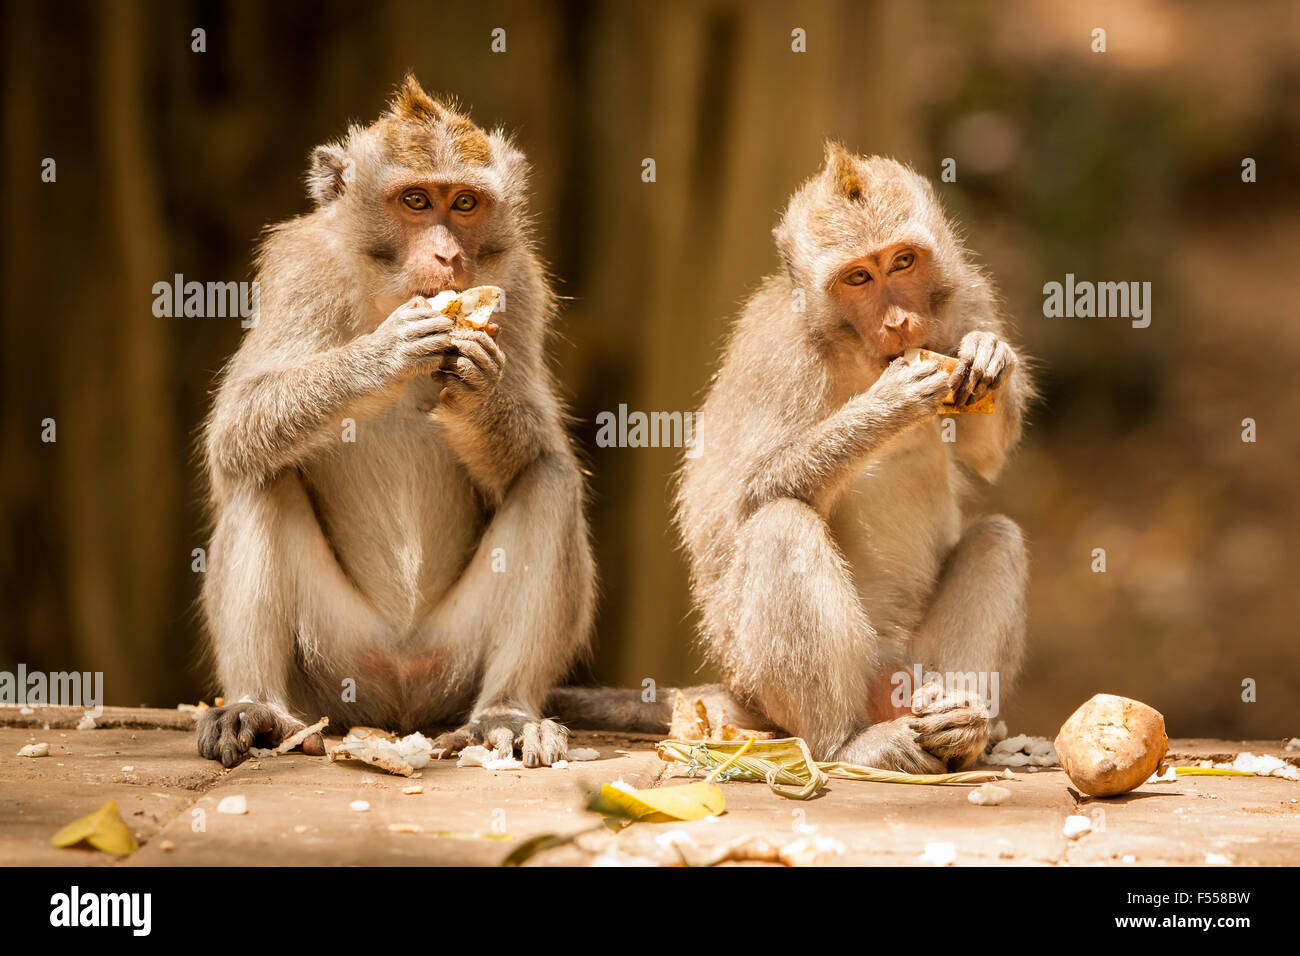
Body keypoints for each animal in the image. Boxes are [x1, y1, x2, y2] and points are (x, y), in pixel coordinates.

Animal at [195, 78, 592, 775]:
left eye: (465, 203)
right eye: (414, 201)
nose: (448, 254)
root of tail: (399, 692)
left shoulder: (518, 286)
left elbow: (536, 452)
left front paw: (476, 390)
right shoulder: (300, 271)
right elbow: (237, 429)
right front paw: (383, 356)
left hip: (450, 659)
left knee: (549, 479)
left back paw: (508, 713)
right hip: (334, 660)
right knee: (261, 473)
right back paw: (256, 706)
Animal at [665, 145, 1029, 775]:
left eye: (903, 262)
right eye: (859, 277)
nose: (900, 322)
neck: (857, 354)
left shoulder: (966, 299)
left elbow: (987, 454)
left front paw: (990, 356)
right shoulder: (778, 358)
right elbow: (741, 499)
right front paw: (887, 405)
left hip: (913, 668)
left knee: (996, 540)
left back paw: (962, 725)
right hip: (759, 674)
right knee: (780, 524)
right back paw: (845, 741)